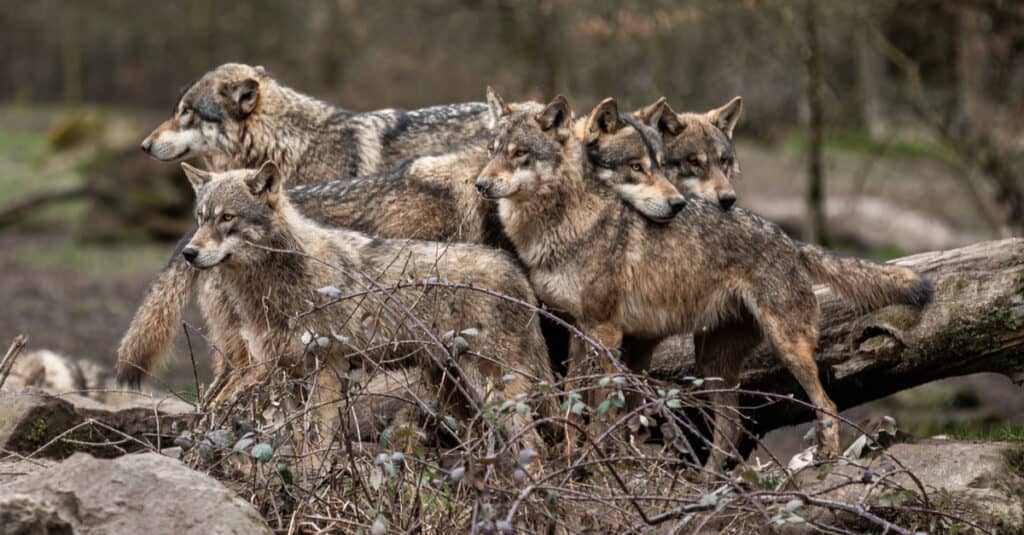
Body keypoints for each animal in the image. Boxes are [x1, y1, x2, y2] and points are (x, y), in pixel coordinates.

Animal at [475, 93, 933, 469]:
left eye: (520, 154)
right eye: (494, 152)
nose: (480, 183)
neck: (560, 222)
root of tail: (790, 240)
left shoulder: (605, 331)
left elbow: (605, 405)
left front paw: (602, 464)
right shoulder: (575, 328)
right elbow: (573, 401)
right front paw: (576, 460)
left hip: (788, 348)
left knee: (827, 403)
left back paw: (825, 459)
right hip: (712, 364)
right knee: (731, 427)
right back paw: (712, 482)